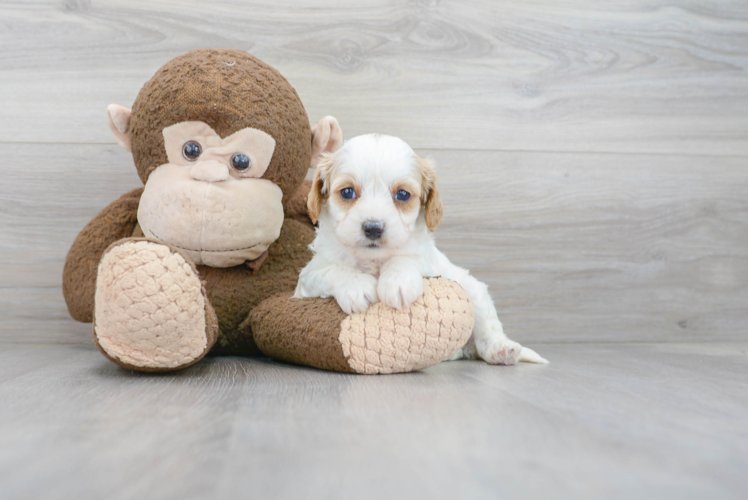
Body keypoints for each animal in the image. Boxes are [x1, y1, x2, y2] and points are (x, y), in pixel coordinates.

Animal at [296, 135, 548, 366]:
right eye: (347, 192)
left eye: (402, 194)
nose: (373, 228)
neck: (374, 260)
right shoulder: (307, 279)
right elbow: (331, 270)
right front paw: (356, 286)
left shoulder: (429, 261)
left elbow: (407, 257)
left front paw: (397, 282)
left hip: (474, 292)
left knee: (487, 334)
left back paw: (502, 349)